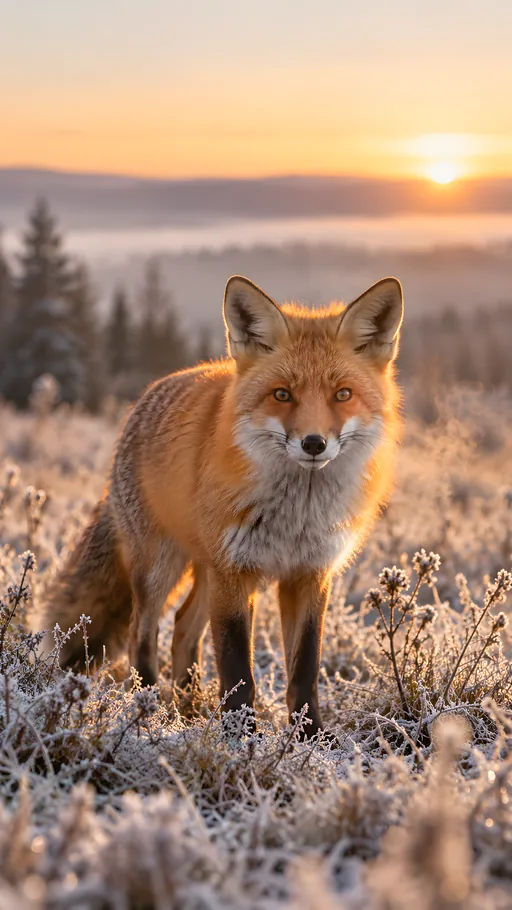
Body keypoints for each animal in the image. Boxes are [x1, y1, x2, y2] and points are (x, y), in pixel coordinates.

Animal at [44, 274, 403, 735]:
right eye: (281, 394)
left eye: (343, 394)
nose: (313, 443)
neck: (297, 517)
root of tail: (144, 399)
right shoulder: (235, 572)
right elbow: (237, 669)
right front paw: (240, 737)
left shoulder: (309, 575)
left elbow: (304, 668)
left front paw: (309, 736)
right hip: (161, 568)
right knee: (144, 632)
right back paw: (150, 710)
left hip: (204, 569)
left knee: (182, 629)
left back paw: (188, 708)